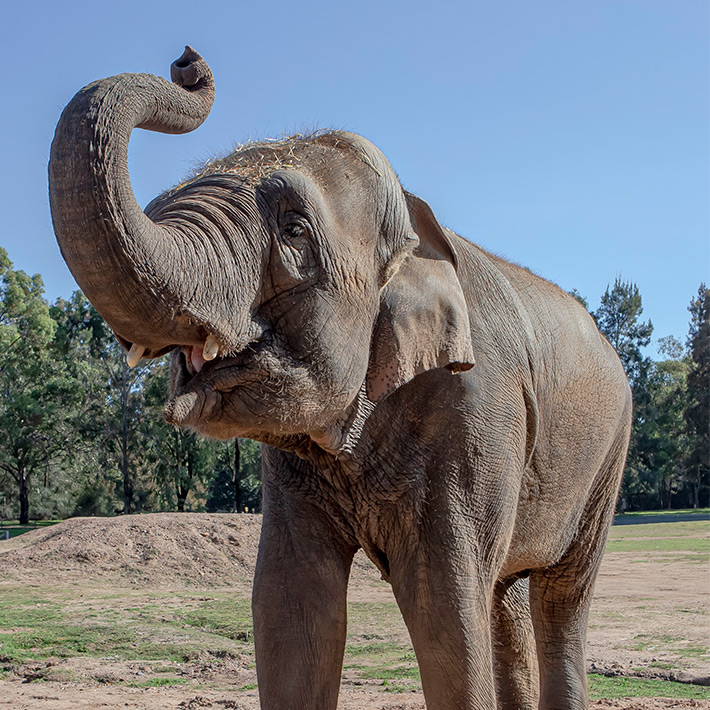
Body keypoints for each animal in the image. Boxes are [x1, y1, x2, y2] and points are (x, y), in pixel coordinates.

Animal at [50, 47, 636, 708]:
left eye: (294, 228)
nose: (186, 61)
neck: (413, 224)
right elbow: (290, 604)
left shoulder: (477, 412)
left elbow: (445, 608)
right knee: (505, 594)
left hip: (609, 456)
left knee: (560, 598)